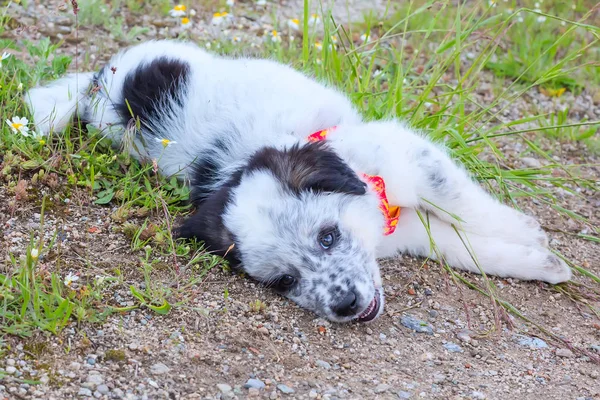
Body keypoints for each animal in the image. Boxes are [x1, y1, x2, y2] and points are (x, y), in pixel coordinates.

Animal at [24, 39, 572, 322]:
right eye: (284, 282)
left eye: (328, 237)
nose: (345, 306)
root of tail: (98, 84)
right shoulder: (405, 228)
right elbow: (463, 247)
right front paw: (540, 262)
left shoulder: (410, 159)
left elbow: (464, 205)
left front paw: (528, 234)